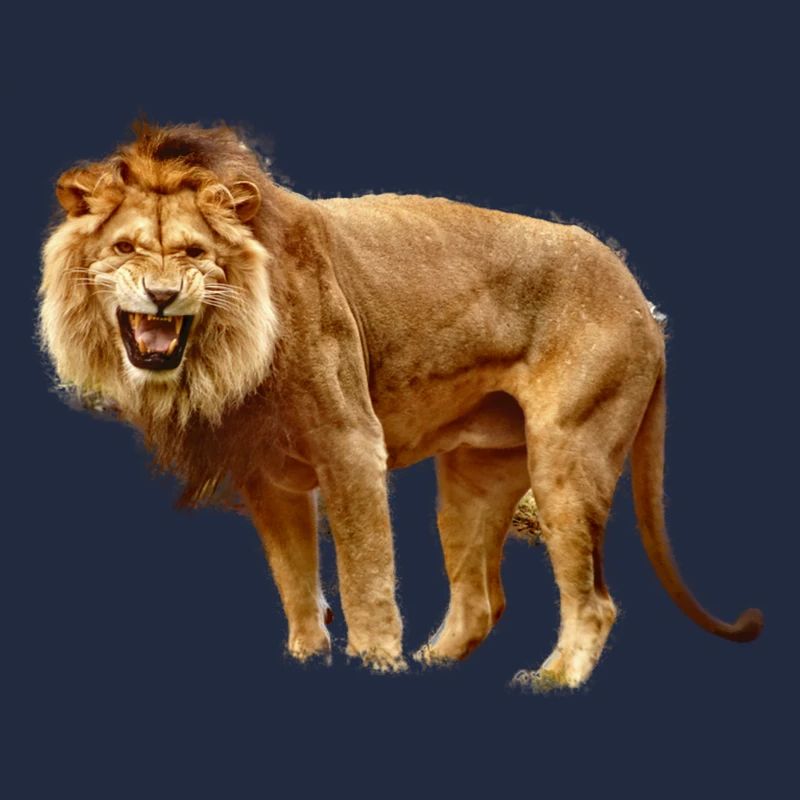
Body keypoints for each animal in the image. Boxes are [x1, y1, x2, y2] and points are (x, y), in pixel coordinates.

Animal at [38, 123, 762, 688]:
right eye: (125, 248)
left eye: (195, 253)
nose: (162, 296)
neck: (222, 353)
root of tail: (643, 304)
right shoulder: (267, 475)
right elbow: (295, 580)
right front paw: (310, 659)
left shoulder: (351, 443)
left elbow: (364, 576)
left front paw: (374, 663)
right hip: (474, 477)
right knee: (481, 601)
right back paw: (436, 665)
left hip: (568, 453)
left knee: (593, 602)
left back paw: (551, 679)